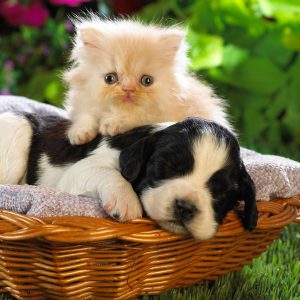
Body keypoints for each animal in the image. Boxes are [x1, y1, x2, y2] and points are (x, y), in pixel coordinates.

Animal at [0, 111, 258, 240]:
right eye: (165, 167)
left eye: (221, 192)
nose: (185, 206)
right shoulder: (80, 171)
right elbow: (110, 174)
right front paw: (126, 201)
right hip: (18, 132)